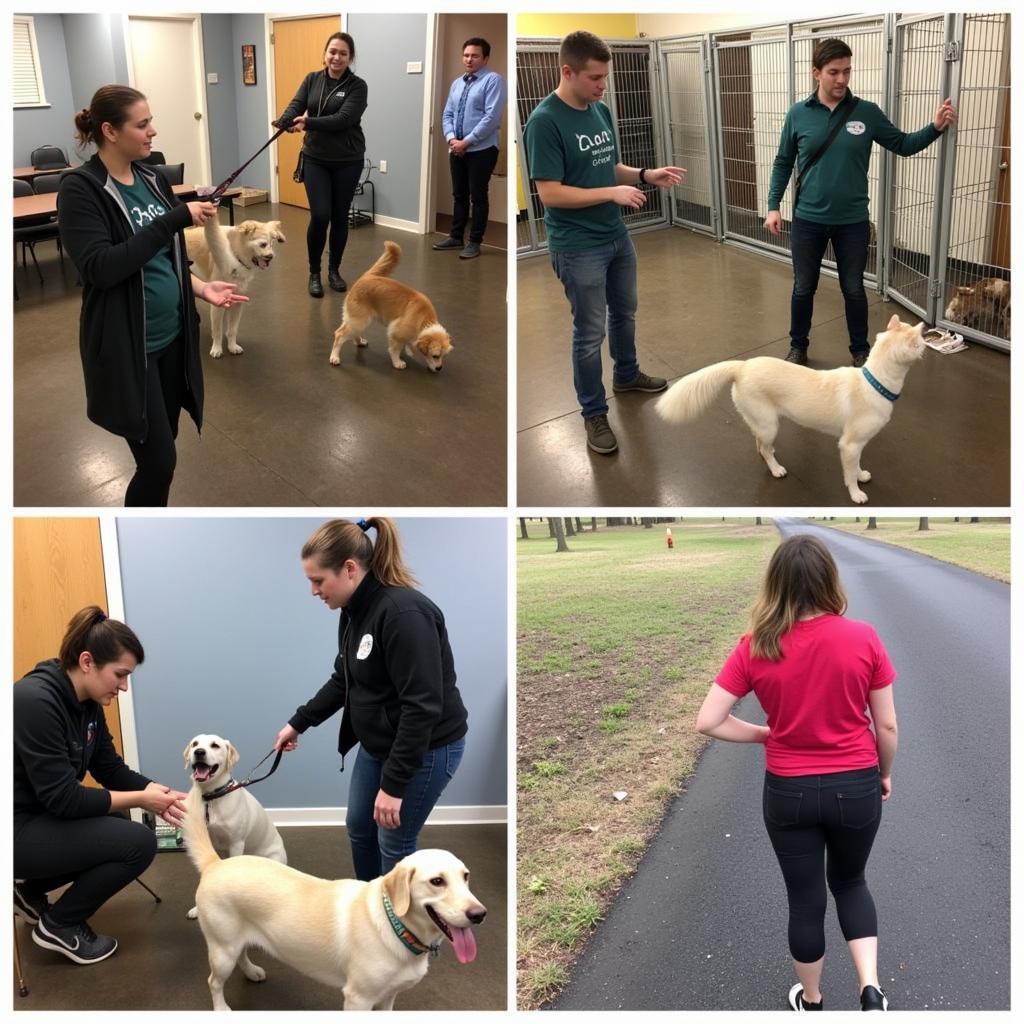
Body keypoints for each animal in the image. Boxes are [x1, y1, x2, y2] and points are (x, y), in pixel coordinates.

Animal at [182, 737, 286, 921]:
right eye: (195, 744)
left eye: (215, 745)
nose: (199, 752)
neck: (212, 797)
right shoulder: (207, 843)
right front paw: (197, 909)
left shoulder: (236, 843)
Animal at [182, 782, 485, 1007]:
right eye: (437, 881)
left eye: (466, 876)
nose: (479, 914)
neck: (396, 926)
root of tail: (216, 863)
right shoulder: (358, 999)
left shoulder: (388, 997)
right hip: (222, 949)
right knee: (214, 982)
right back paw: (222, 1009)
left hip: (235, 939)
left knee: (242, 953)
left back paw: (251, 971)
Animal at [186, 218, 284, 358]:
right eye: (263, 244)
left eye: (272, 244)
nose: (271, 257)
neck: (235, 255)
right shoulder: (217, 304)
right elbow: (217, 330)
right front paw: (217, 348)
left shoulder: (237, 301)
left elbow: (232, 329)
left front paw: (232, 346)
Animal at [329, 241, 454, 374]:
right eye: (435, 356)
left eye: (443, 356)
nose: (439, 368)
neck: (423, 320)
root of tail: (367, 277)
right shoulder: (395, 330)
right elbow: (395, 349)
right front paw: (398, 362)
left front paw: (409, 349)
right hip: (359, 320)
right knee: (339, 334)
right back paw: (334, 357)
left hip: (357, 319)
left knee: (351, 332)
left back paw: (359, 342)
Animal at [655, 311, 929, 503]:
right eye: (921, 342)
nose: (927, 344)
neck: (875, 382)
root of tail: (742, 366)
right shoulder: (849, 444)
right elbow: (849, 473)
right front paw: (856, 493)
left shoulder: (858, 445)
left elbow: (857, 465)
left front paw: (861, 474)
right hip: (769, 424)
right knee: (763, 447)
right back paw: (776, 469)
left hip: (762, 422)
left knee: (759, 444)